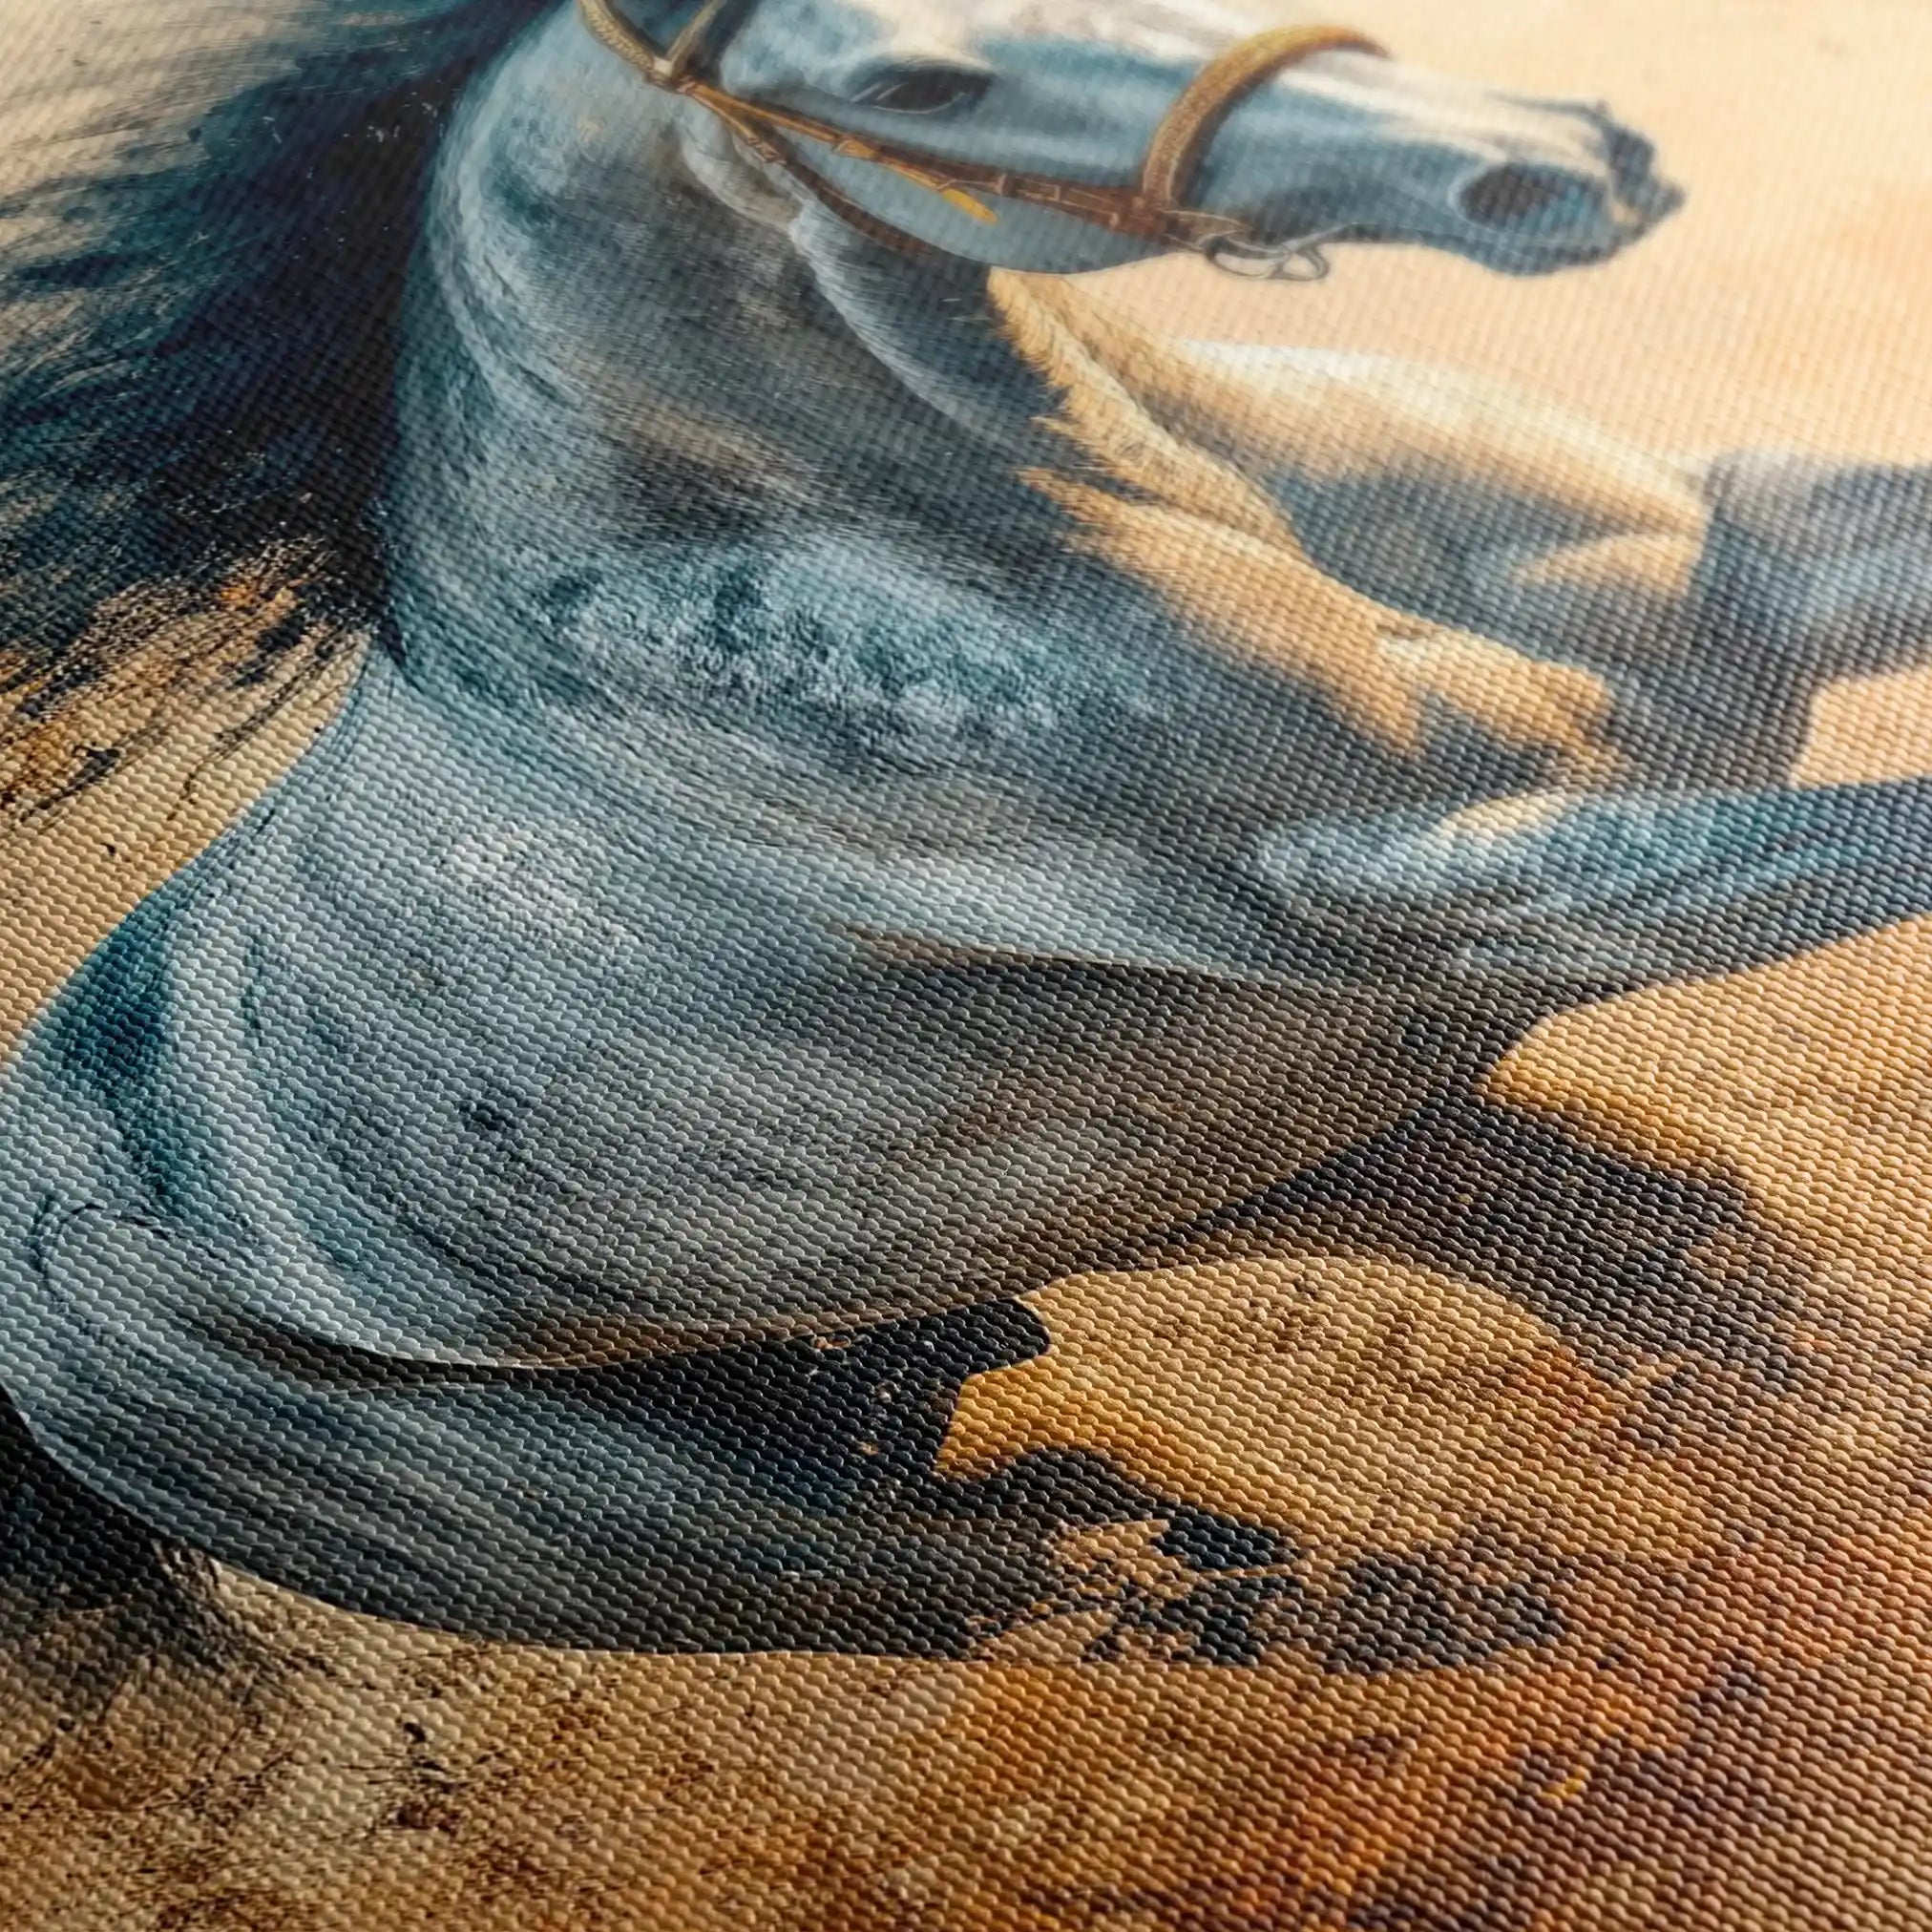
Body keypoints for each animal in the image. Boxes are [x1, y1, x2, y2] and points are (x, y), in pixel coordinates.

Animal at [5, 0, 1932, 1661]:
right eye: (915, 84)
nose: (1553, 161)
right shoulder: (1465, 882)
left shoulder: (1742, 562)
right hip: (679, 1540)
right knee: (1065, 1573)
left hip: (1272, 1166)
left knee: (1696, 1301)